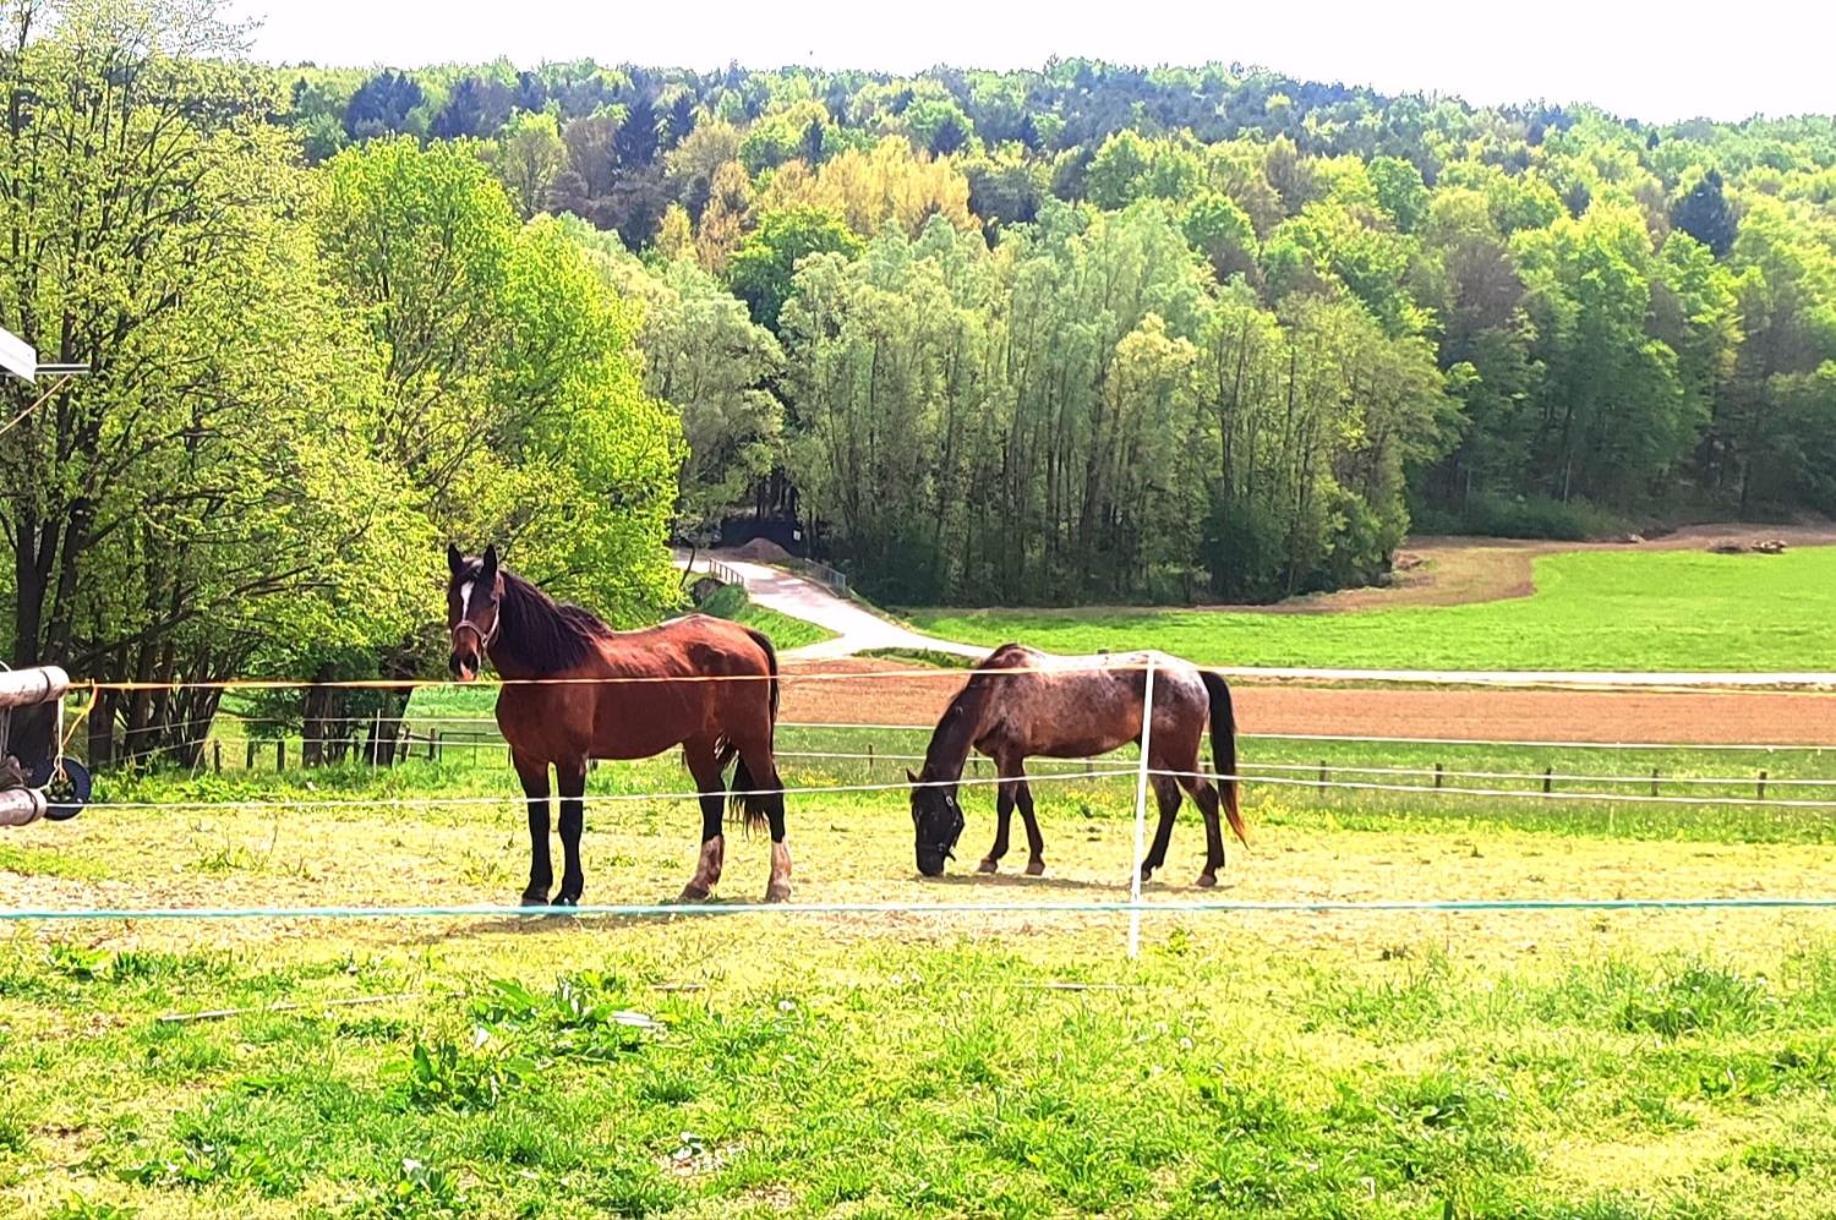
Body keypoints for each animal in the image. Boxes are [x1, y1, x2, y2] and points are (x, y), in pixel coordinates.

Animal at [447, 543, 793, 903]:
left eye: (492, 600)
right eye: (452, 597)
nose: (464, 662)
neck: (547, 672)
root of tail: (745, 633)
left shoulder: (572, 761)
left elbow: (569, 823)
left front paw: (569, 891)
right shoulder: (528, 759)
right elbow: (538, 822)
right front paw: (537, 887)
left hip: (751, 738)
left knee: (773, 795)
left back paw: (779, 883)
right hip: (699, 741)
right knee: (712, 799)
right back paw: (700, 883)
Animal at [906, 646, 1248, 885]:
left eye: (932, 813)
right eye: (915, 813)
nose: (927, 866)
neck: (997, 690)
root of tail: (1194, 675)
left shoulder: (1008, 756)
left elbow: (1005, 806)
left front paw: (992, 857)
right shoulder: (1015, 759)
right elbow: (1026, 804)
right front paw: (1036, 860)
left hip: (1179, 755)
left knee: (1207, 799)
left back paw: (1209, 871)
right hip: (1154, 753)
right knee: (1170, 802)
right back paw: (1146, 867)